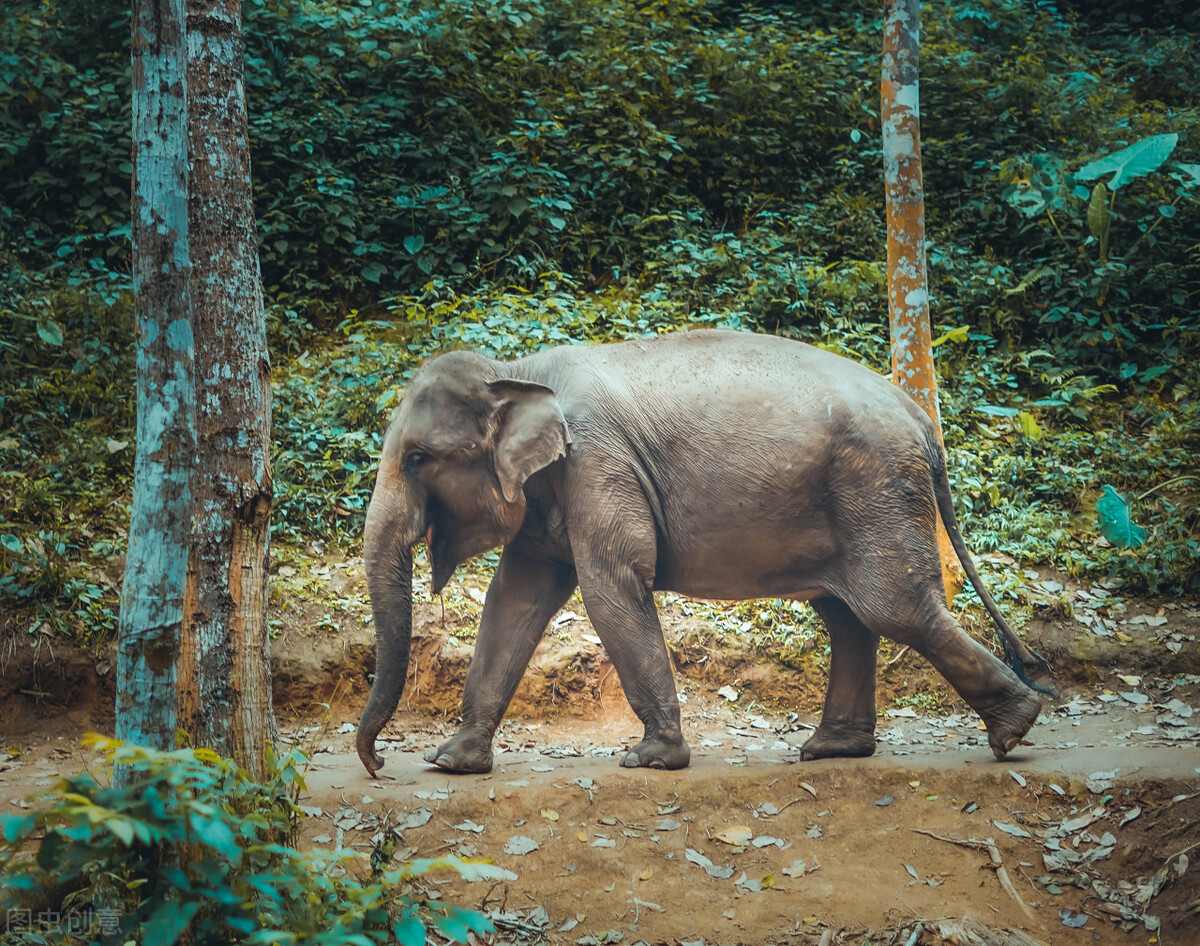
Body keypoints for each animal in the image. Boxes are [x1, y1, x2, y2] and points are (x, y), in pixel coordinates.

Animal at [350, 326, 1046, 777]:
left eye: (418, 458)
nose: (379, 762)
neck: (519, 372)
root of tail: (922, 417)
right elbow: (515, 599)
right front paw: (452, 763)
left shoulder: (598, 464)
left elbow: (612, 586)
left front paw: (650, 759)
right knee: (848, 615)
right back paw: (832, 750)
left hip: (876, 489)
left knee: (894, 608)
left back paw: (1015, 728)